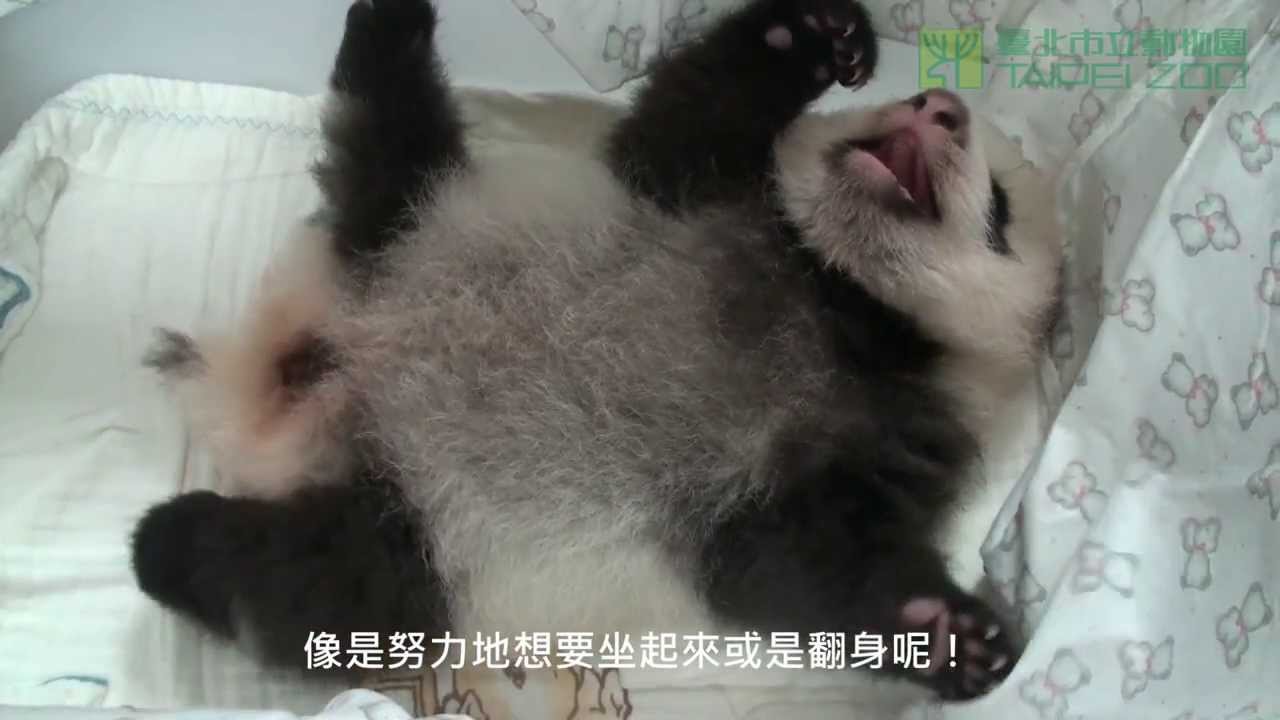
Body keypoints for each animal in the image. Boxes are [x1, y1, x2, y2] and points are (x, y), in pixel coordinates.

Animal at [131, 0, 1061, 703]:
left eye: (1001, 210)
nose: (938, 106)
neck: (836, 294)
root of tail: (312, 381)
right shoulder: (694, 196)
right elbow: (689, 113)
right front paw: (819, 32)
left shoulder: (869, 438)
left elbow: (797, 563)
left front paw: (949, 631)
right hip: (415, 229)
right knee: (390, 133)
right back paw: (391, 20)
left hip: (427, 534)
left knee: (316, 584)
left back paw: (168, 540)